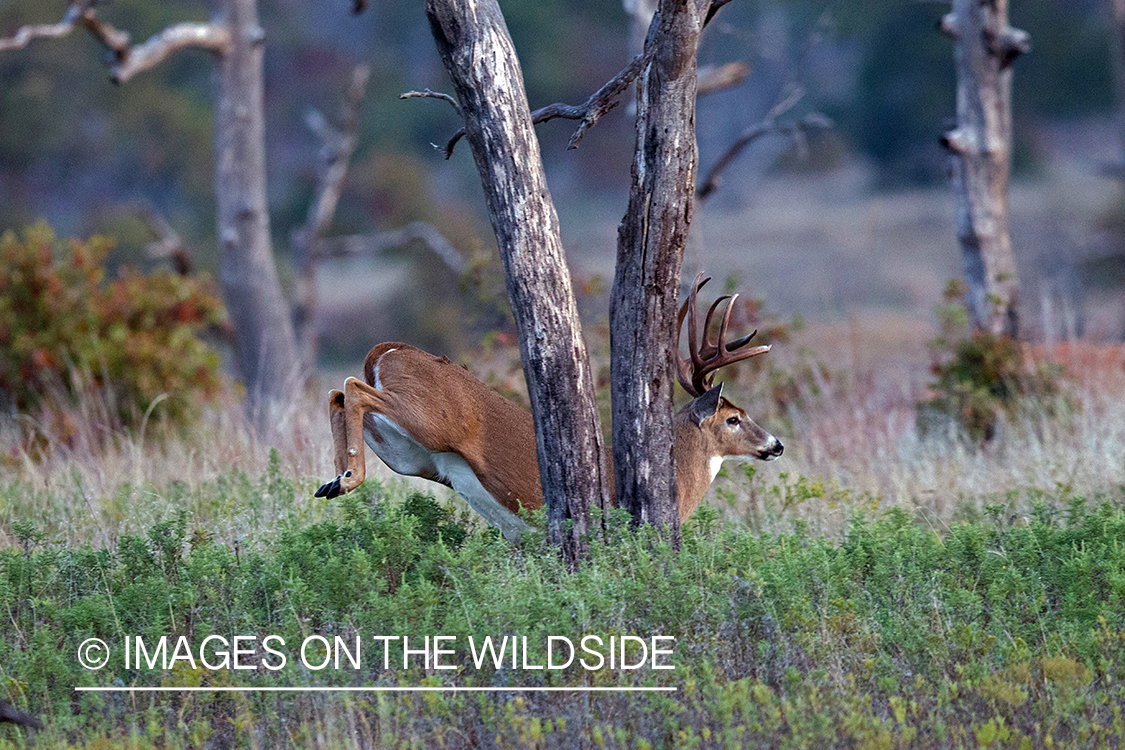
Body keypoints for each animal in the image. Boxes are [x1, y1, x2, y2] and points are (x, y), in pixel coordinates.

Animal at [315, 274, 783, 539]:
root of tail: (387, 349)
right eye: (734, 418)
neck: (680, 481)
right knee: (352, 387)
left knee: (338, 394)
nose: (776, 444)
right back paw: (347, 479)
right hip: (431, 420)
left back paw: (332, 481)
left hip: (408, 453)